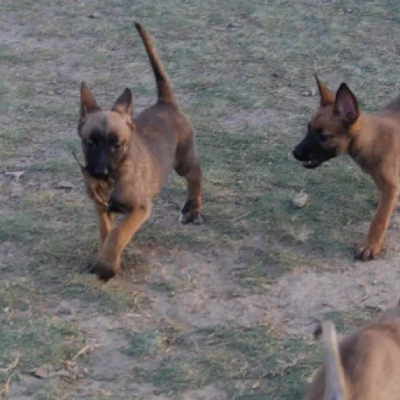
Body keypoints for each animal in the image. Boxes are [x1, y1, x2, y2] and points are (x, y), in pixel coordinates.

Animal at [77, 21, 205, 278]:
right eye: (90, 142)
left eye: (117, 144)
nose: (99, 173)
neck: (116, 176)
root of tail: (166, 103)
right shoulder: (101, 209)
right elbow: (107, 235)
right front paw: (106, 260)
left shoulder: (139, 208)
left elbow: (117, 235)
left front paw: (106, 267)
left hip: (183, 161)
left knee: (196, 173)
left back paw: (193, 208)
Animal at [290, 75, 400, 260]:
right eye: (308, 128)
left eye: (323, 135)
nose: (295, 153)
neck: (373, 140)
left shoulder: (390, 186)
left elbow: (379, 219)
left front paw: (370, 245)